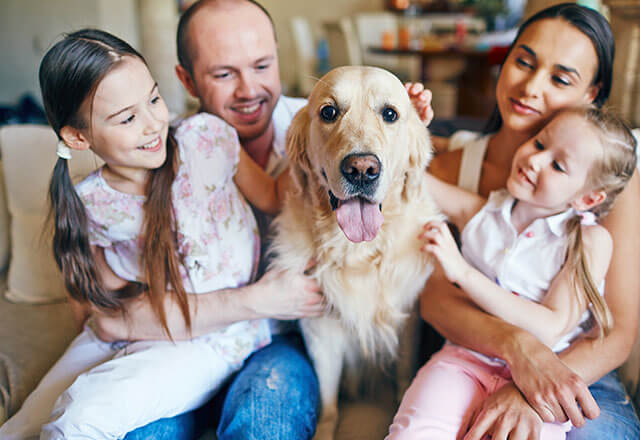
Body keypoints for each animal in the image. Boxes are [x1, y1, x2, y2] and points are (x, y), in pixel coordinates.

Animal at [268, 66, 440, 440]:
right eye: (328, 112)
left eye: (390, 113)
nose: (362, 169)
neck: (358, 253)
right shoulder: (320, 331)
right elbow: (328, 401)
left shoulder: (408, 320)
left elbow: (404, 376)